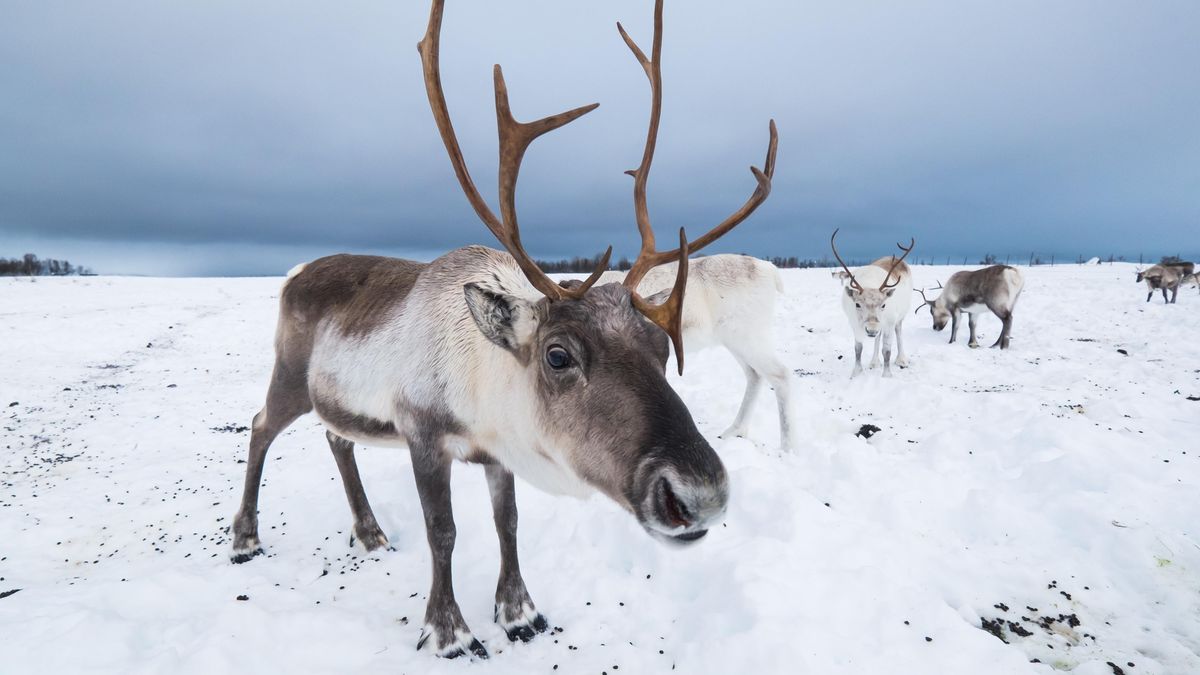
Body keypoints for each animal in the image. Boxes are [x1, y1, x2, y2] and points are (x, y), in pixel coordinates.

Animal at [592, 255, 799, 451]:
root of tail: (769, 269)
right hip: (734, 340)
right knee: (755, 374)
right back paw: (733, 431)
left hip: (748, 336)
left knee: (780, 374)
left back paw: (788, 448)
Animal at [830, 229, 915, 378]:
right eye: (857, 304)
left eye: (884, 305)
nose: (871, 330)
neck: (870, 283)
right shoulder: (854, 323)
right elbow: (858, 349)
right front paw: (856, 373)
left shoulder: (889, 322)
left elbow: (886, 350)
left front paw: (887, 375)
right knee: (877, 338)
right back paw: (874, 362)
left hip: (900, 316)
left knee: (898, 332)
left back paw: (902, 360)